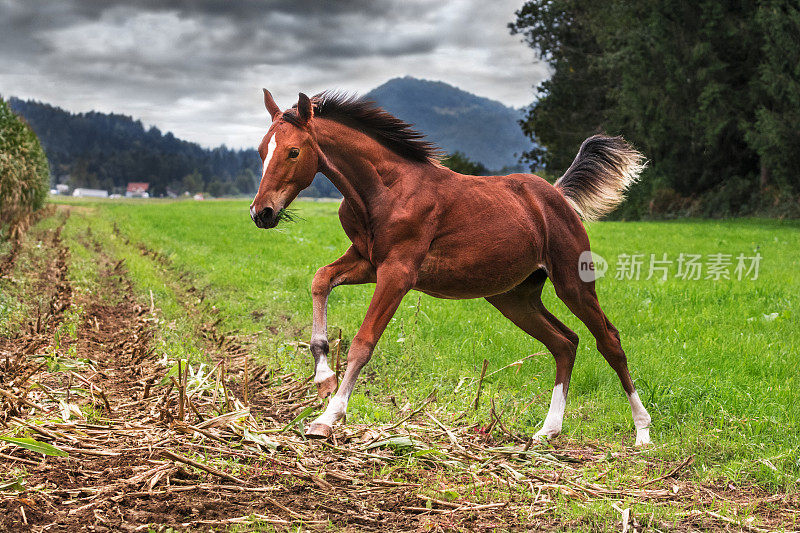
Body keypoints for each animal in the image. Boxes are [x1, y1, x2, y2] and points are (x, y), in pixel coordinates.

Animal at [250, 88, 648, 444]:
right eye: (260, 151)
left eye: (293, 151)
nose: (261, 213)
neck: (384, 190)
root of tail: (558, 195)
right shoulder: (367, 262)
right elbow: (320, 280)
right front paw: (322, 378)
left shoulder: (398, 272)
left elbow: (363, 342)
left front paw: (328, 416)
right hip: (513, 297)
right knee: (565, 342)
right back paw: (548, 430)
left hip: (572, 282)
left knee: (609, 340)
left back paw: (642, 431)